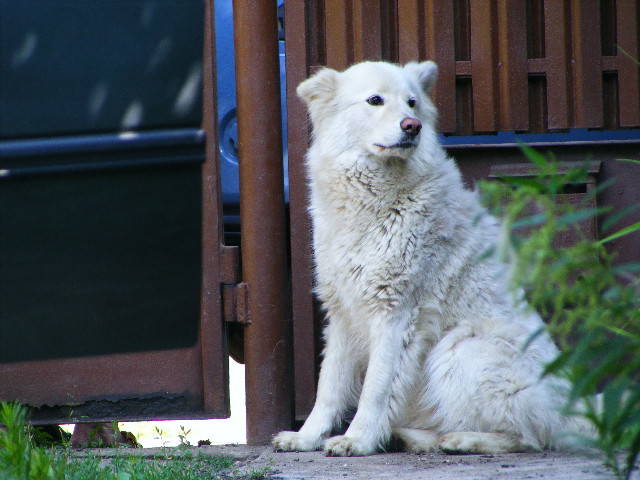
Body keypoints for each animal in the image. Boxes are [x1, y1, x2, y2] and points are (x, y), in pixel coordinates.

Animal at [272, 62, 584, 456]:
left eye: (412, 103)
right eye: (375, 100)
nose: (412, 126)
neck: (375, 199)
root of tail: (577, 413)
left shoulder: (395, 313)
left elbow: (375, 389)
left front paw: (358, 440)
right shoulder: (342, 312)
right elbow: (328, 388)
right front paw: (306, 437)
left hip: (461, 349)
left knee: (528, 437)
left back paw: (463, 440)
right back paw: (412, 437)